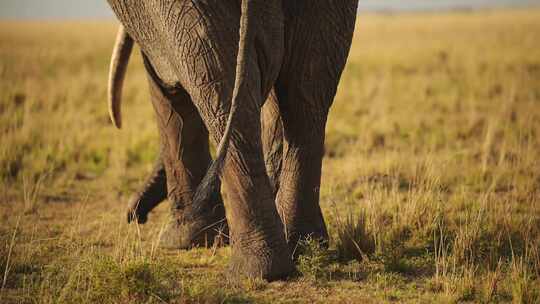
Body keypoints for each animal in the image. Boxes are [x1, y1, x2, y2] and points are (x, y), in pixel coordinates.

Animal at [105, 0, 358, 280]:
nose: (134, 216)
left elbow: (166, 86)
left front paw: (183, 240)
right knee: (305, 93)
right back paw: (303, 249)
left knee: (215, 78)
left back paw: (250, 268)